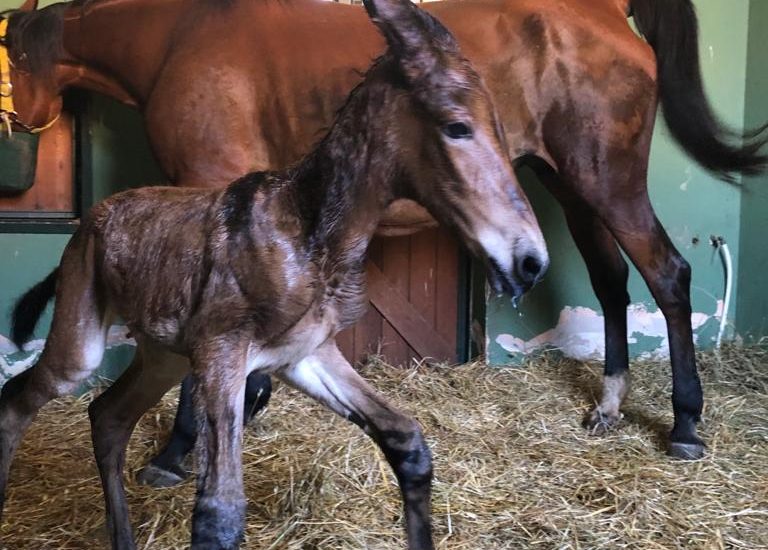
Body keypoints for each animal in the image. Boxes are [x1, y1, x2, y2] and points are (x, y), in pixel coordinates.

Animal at [3, 0, 548, 548]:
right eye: (456, 126)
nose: (531, 261)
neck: (304, 232)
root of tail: (93, 218)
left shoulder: (306, 357)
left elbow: (407, 443)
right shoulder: (223, 355)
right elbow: (219, 512)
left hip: (164, 356)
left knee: (108, 417)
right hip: (82, 350)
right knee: (20, 402)